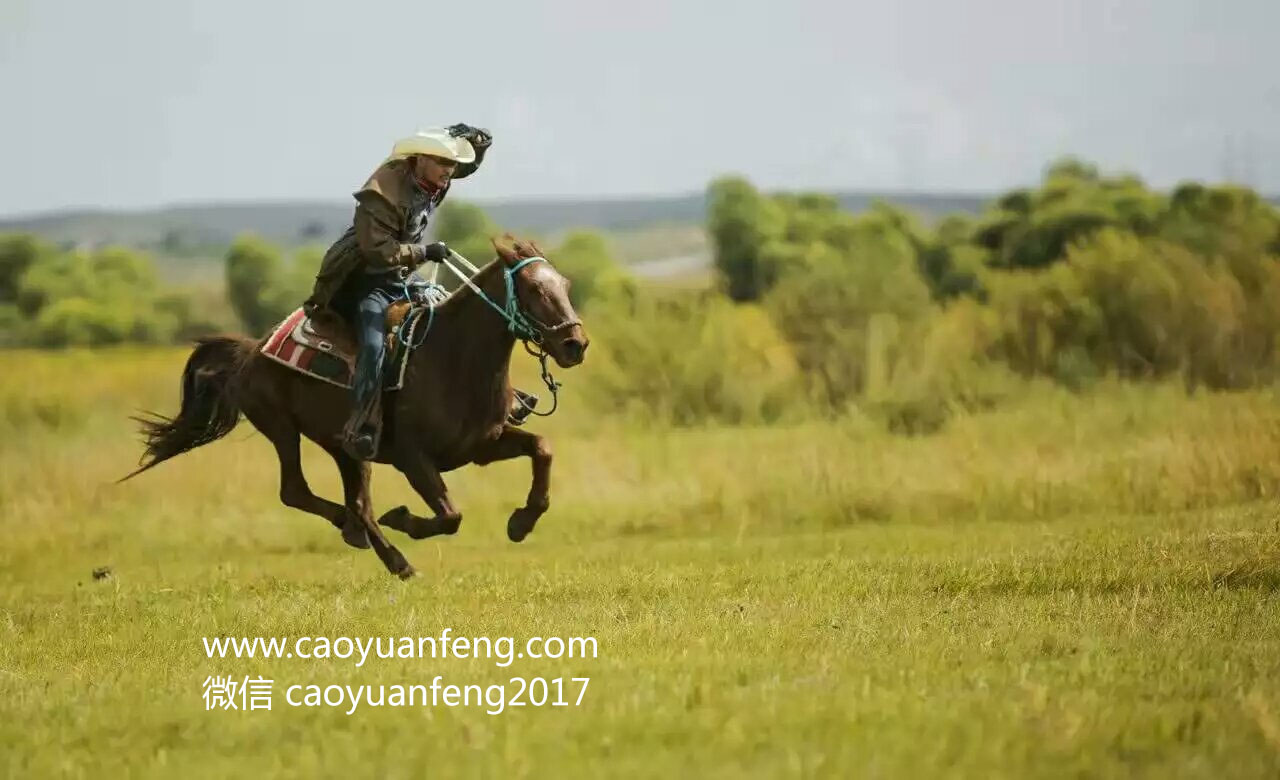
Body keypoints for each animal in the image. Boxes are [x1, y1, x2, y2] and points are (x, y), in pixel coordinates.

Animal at [122, 236, 591, 578]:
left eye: (566, 286)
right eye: (534, 288)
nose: (575, 344)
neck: (452, 357)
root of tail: (253, 349)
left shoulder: (481, 446)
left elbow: (542, 448)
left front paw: (521, 523)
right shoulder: (412, 458)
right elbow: (450, 515)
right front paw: (403, 518)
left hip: (345, 447)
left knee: (354, 503)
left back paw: (368, 540)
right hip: (285, 429)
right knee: (299, 491)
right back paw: (383, 550)